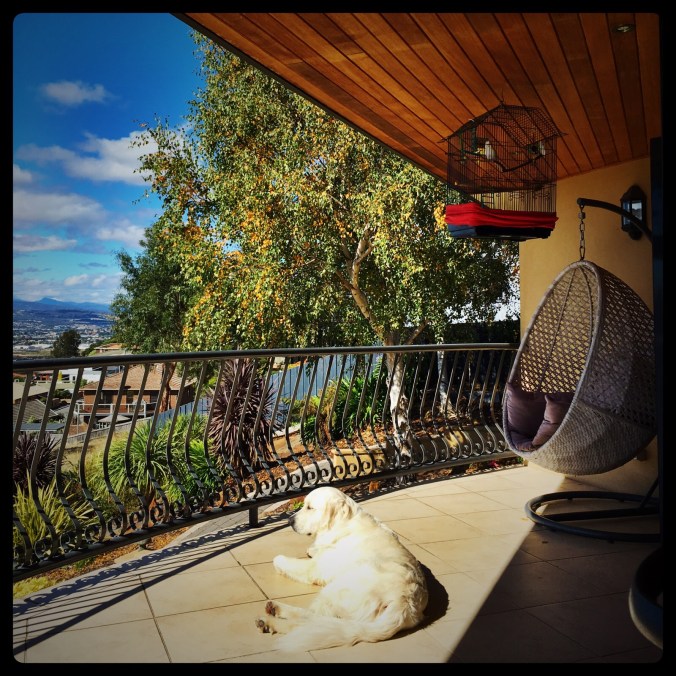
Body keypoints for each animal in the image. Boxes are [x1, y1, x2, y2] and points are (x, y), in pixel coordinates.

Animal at [255, 485, 429, 652]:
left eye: (310, 507)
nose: (290, 520)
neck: (343, 524)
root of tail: (405, 602)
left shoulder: (314, 568)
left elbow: (278, 559)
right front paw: (313, 549)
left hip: (335, 589)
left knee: (312, 620)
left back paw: (271, 620)